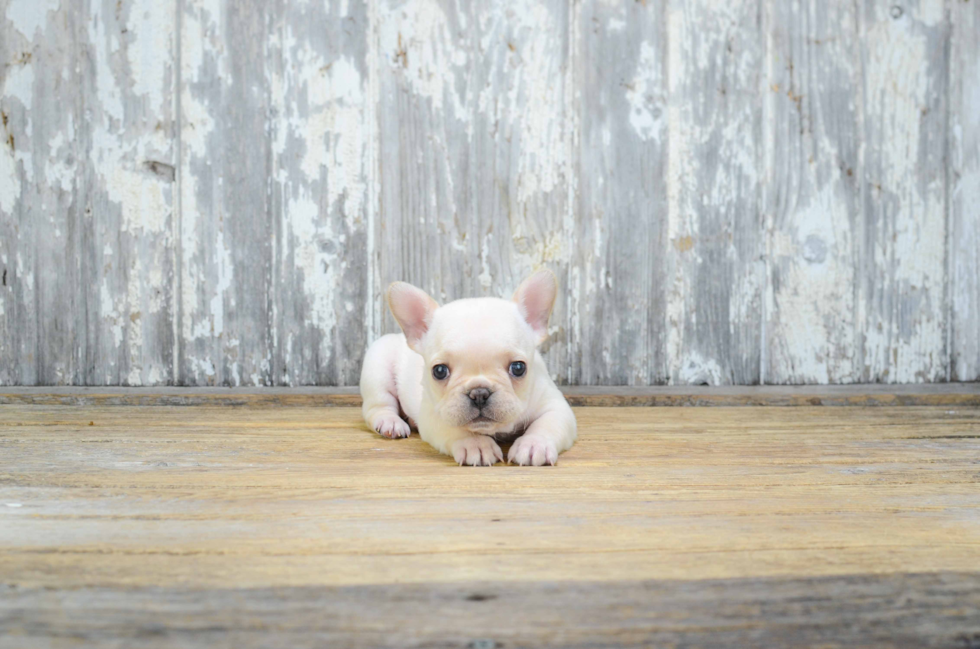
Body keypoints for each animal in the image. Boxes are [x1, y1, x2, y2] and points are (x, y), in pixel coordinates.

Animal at [358, 270, 576, 466]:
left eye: (518, 368)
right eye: (439, 371)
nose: (479, 393)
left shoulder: (554, 405)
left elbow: (547, 424)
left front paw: (533, 445)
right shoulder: (434, 415)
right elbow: (456, 429)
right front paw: (476, 445)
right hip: (377, 366)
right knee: (378, 406)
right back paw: (390, 422)